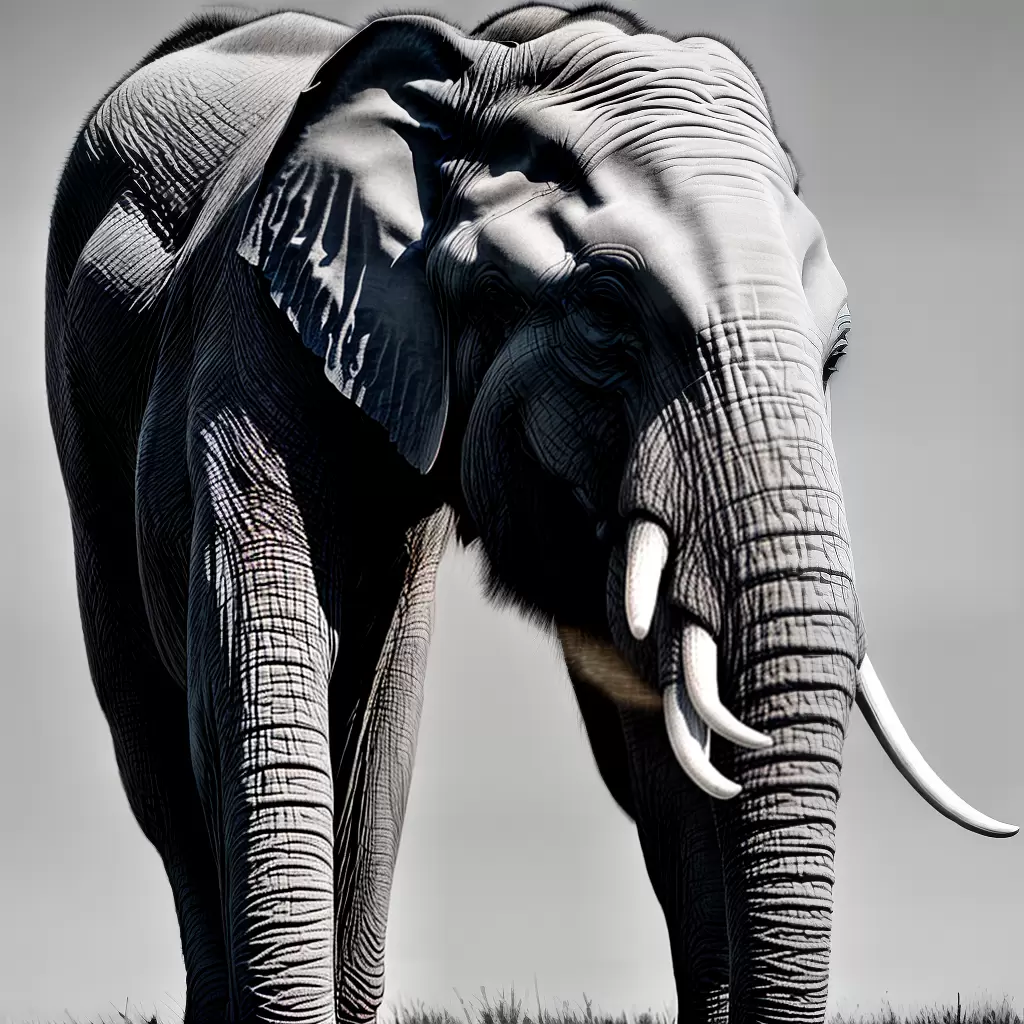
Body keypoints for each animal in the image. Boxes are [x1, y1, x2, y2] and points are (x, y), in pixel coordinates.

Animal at [44, 4, 1018, 1023]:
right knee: (161, 748)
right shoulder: (255, 331)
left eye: (835, 353)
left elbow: (649, 722)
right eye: (604, 313)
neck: (489, 65)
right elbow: (258, 662)